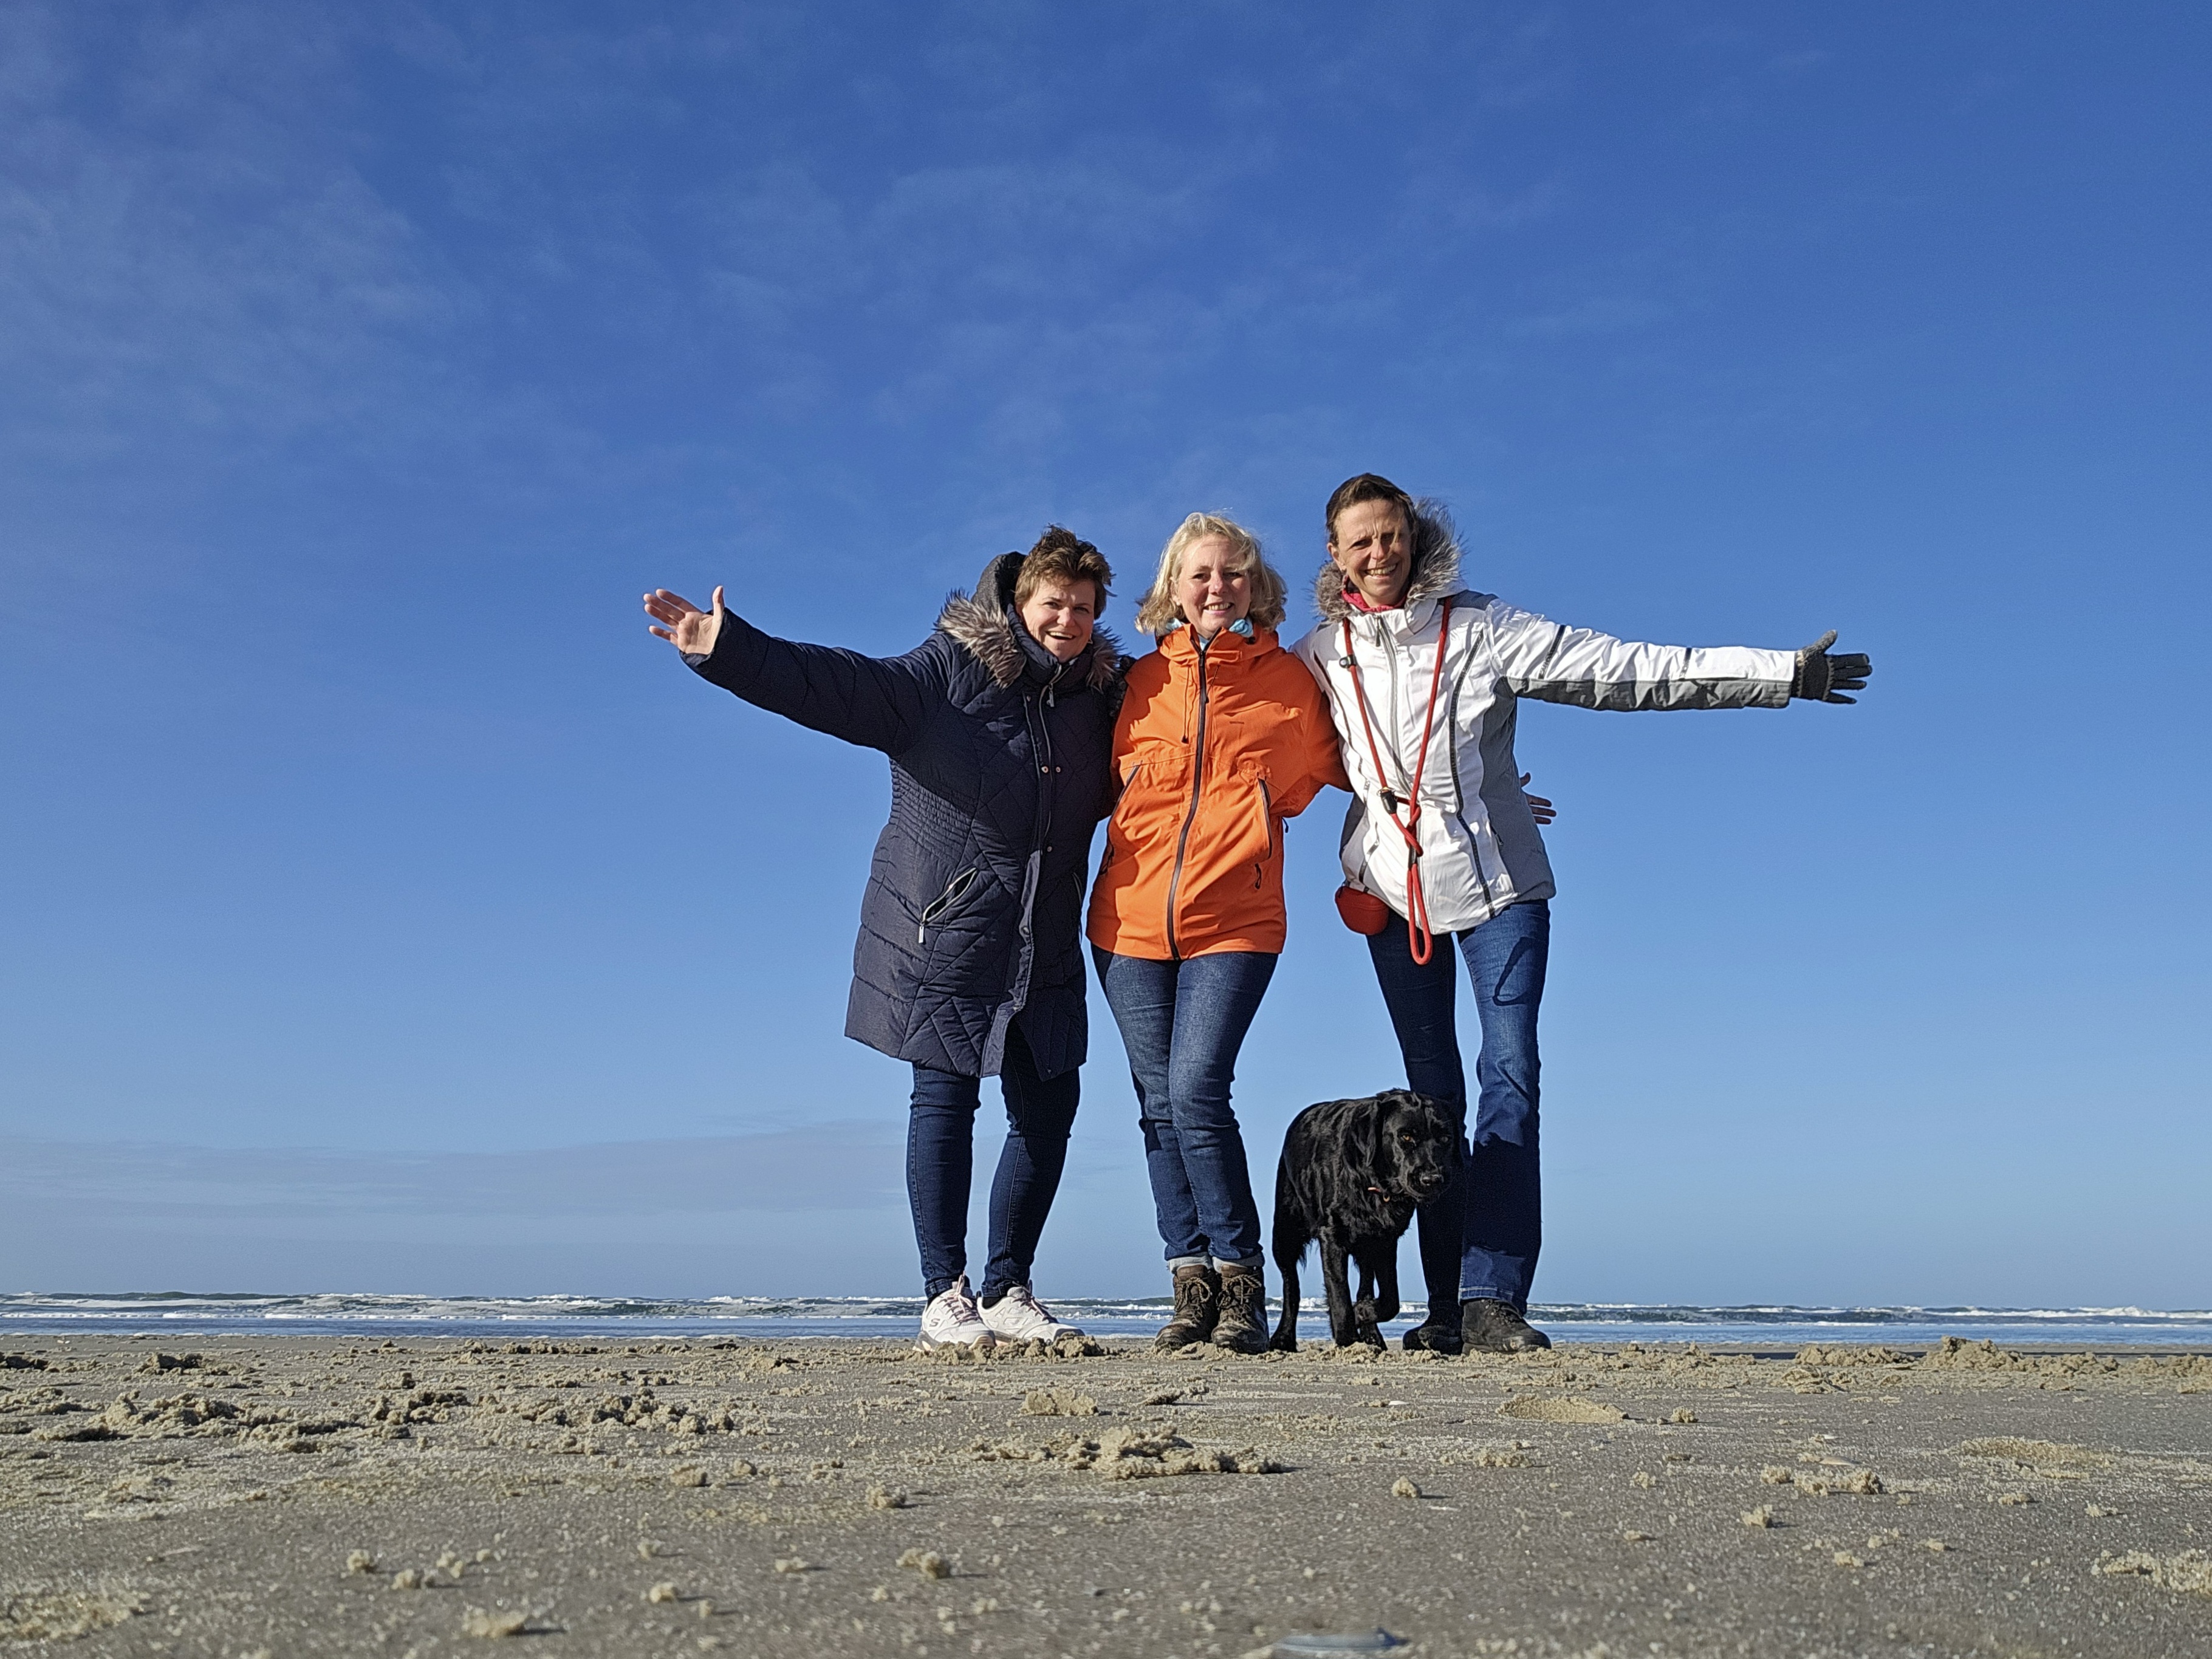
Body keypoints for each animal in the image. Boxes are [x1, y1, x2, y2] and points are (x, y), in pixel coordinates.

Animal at [1269, 1089, 1462, 1351]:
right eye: (1406, 1136)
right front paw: (1348, 1337)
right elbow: (1339, 1291)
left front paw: (1362, 1313)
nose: (1432, 1179)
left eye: (1445, 1138)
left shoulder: (1385, 1240)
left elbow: (1391, 1300)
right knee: (1292, 1285)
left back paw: (1371, 1334)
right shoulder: (1332, 1236)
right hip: (1285, 1233)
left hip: (1365, 1246)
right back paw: (1283, 1337)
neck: (1373, 1184)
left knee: (1366, 1285)